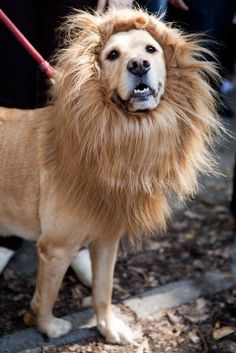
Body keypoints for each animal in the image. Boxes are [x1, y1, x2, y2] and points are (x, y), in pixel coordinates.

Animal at [0, 8, 220, 344]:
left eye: (151, 49)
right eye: (112, 54)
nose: (139, 65)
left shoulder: (106, 238)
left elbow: (104, 289)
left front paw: (109, 327)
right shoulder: (55, 249)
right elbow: (48, 294)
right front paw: (48, 326)